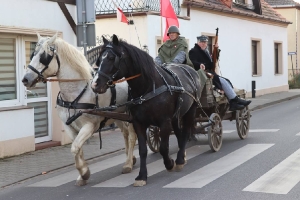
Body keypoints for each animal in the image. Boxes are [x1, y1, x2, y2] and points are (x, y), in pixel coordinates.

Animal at [22, 33, 137, 186]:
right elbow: (77, 150)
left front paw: (84, 172)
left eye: (44, 56)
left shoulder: (89, 126)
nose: (25, 79)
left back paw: (128, 163)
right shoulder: (69, 127)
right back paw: (130, 158)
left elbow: (75, 147)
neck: (74, 95)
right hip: (116, 116)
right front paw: (82, 175)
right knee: (125, 133)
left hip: (129, 115)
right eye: (33, 54)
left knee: (132, 136)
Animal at [91, 35, 202, 187]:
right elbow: (143, 150)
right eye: (99, 59)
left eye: (112, 58)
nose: (95, 84)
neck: (148, 87)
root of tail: (190, 70)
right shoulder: (139, 123)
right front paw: (142, 176)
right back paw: (182, 156)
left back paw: (179, 160)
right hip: (175, 116)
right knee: (179, 134)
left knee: (185, 133)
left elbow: (163, 148)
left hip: (190, 111)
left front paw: (169, 163)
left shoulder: (164, 122)